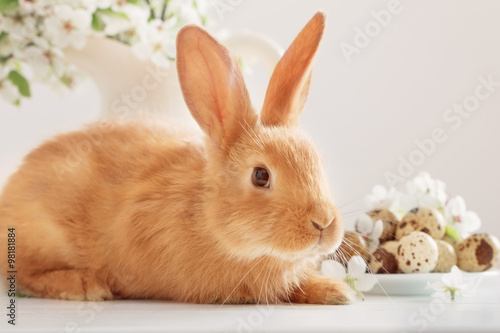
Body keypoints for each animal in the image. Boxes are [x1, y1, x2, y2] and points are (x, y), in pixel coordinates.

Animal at [0, 11, 352, 304]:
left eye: (317, 162)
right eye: (261, 176)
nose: (324, 223)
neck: (205, 213)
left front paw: (336, 292)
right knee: (21, 275)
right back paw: (85, 286)